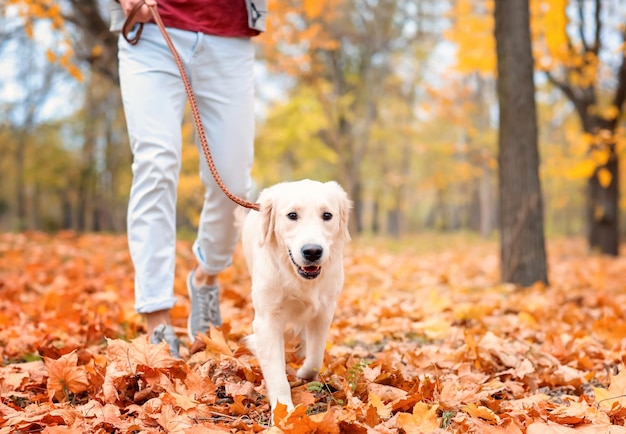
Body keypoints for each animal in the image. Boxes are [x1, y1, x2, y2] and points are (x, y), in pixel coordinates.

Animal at [240, 180, 352, 414]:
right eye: (292, 215)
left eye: (327, 215)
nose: (312, 251)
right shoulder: (267, 319)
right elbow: (276, 372)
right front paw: (284, 413)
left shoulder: (324, 311)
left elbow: (316, 357)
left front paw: (303, 374)